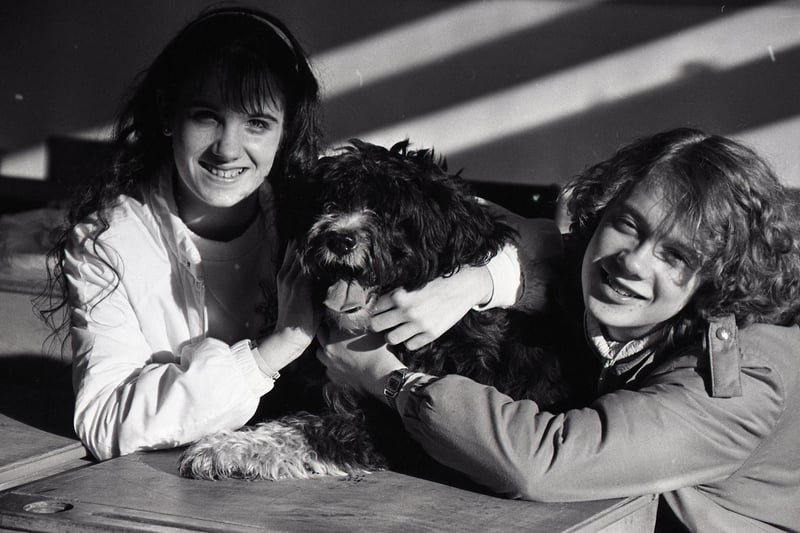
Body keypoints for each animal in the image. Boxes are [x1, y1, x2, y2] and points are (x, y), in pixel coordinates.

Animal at [178, 139, 572, 480]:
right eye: (329, 203)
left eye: (391, 213)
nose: (339, 239)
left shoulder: (400, 428)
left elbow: (315, 427)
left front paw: (226, 448)